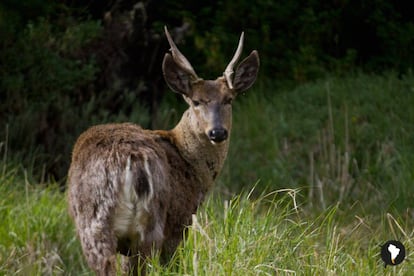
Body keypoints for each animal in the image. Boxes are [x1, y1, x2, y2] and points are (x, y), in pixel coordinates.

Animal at [68, 25, 258, 274]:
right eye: (196, 101)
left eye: (229, 99)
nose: (217, 132)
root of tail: (131, 162)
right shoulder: (181, 218)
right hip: (149, 223)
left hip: (99, 226)